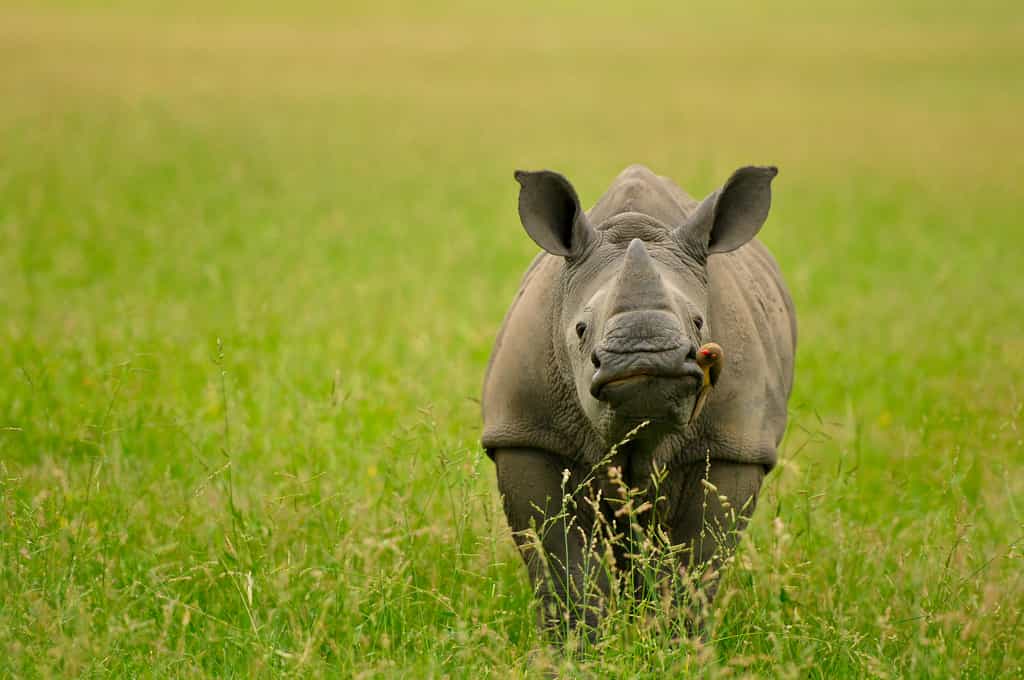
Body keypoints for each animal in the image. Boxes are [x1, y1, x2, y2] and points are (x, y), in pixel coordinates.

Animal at [481, 164, 796, 633]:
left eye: (699, 322)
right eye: (579, 329)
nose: (644, 355)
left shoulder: (732, 444)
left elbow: (697, 562)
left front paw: (678, 642)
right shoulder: (530, 434)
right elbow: (564, 566)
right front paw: (577, 646)